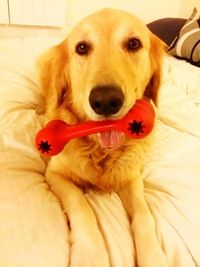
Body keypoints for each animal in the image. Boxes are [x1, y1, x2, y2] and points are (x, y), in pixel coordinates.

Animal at [37, 8, 167, 267]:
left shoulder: (131, 177)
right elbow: (81, 206)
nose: (105, 100)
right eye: (82, 48)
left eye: (134, 43)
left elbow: (144, 215)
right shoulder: (54, 174)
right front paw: (90, 256)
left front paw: (154, 256)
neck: (101, 150)